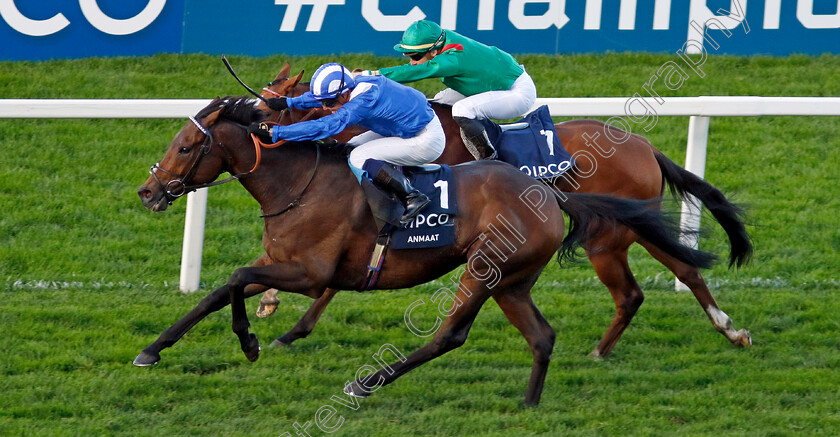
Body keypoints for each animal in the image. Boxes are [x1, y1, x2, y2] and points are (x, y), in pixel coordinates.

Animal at [135, 96, 712, 406]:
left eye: (185, 146)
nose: (148, 190)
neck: (299, 182)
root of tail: (548, 194)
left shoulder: (309, 270)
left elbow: (238, 279)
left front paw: (252, 340)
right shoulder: (285, 264)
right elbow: (219, 290)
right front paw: (154, 350)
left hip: (488, 267)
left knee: (449, 335)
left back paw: (366, 384)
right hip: (513, 280)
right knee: (543, 336)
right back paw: (530, 402)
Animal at [253, 64, 752, 358]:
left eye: (262, 109)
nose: (258, 132)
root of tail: (646, 147)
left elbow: (331, 281)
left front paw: (282, 316)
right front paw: (270, 302)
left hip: (606, 240)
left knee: (633, 292)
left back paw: (600, 351)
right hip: (637, 224)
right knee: (687, 269)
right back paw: (731, 330)